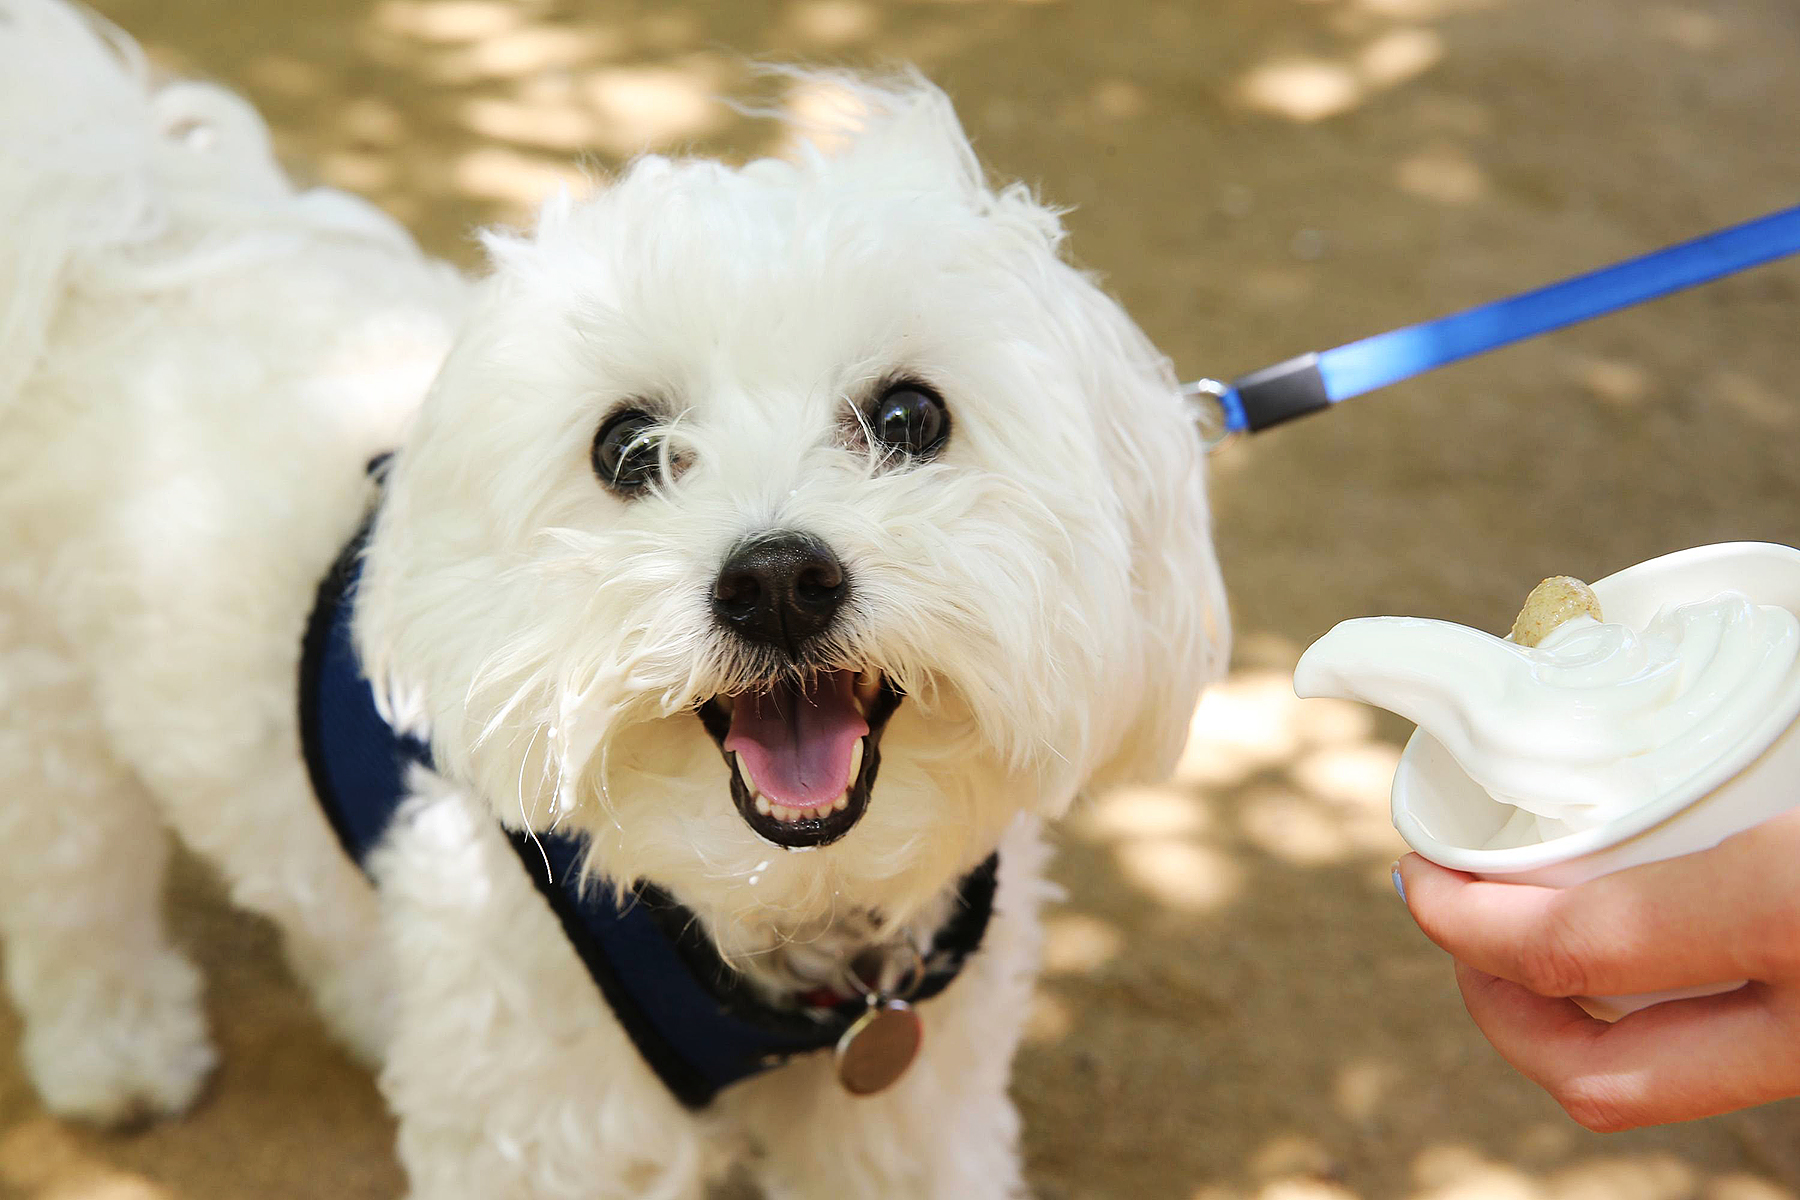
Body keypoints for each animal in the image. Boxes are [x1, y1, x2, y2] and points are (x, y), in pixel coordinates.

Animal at [0, 4, 1224, 1194]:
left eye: (910, 417)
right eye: (627, 447)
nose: (777, 583)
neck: (776, 918)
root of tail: (124, 225)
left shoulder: (909, 1115)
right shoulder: (544, 1118)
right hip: (49, 727)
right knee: (73, 895)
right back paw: (117, 1053)